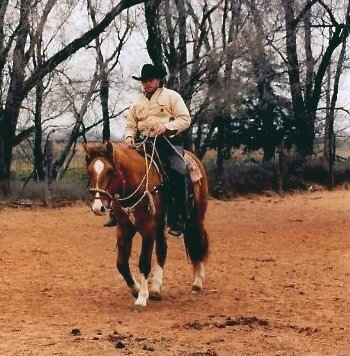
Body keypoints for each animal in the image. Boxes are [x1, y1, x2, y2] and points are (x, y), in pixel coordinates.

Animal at [82, 140, 208, 308]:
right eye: (90, 171)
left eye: (110, 171)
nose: (98, 207)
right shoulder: (124, 229)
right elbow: (121, 264)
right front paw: (135, 289)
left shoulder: (148, 229)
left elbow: (144, 262)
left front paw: (141, 297)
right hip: (161, 225)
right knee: (162, 250)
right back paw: (155, 289)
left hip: (195, 219)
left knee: (197, 243)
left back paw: (197, 283)